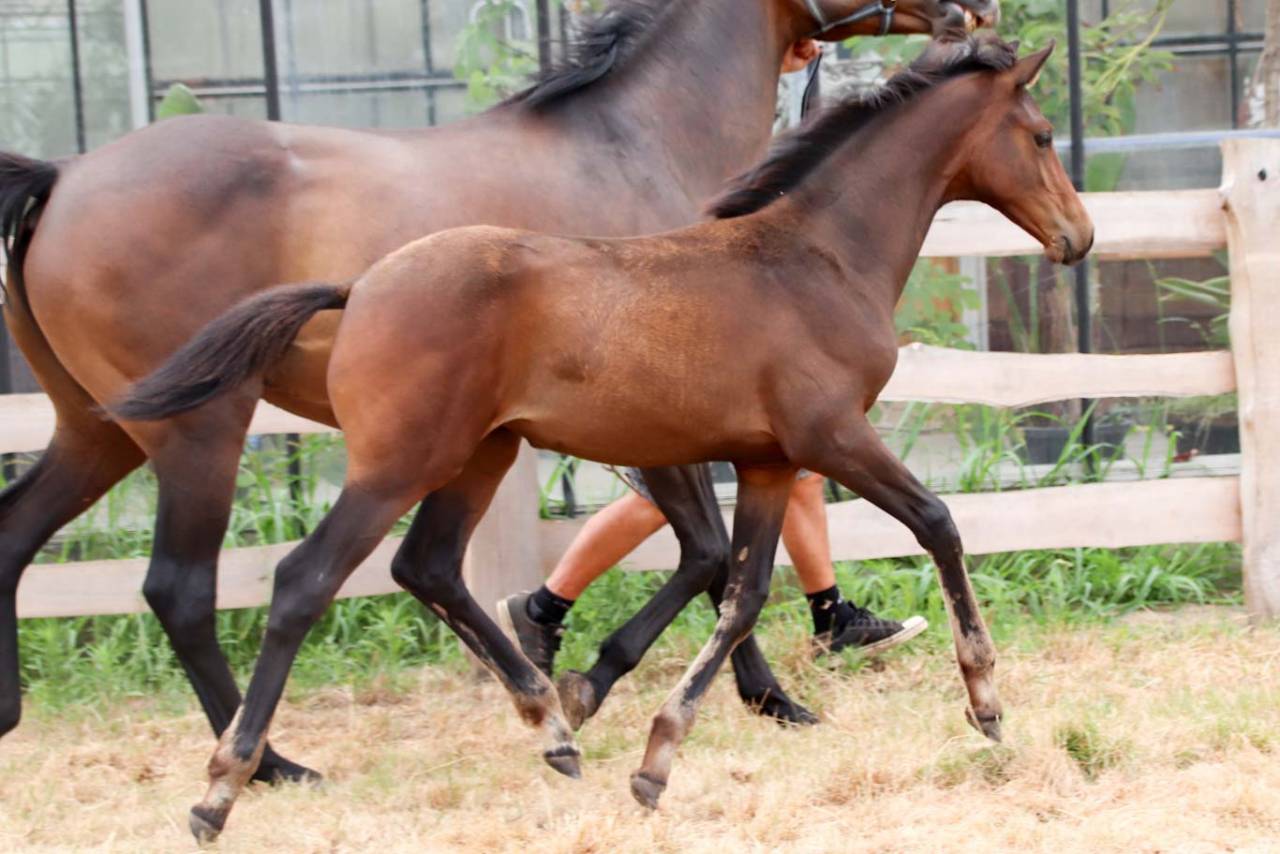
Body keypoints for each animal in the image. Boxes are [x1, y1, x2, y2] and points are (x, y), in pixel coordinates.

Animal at [117, 33, 1092, 839]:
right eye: (1044, 135)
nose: (1079, 235)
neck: (817, 257)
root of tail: (358, 289)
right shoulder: (831, 435)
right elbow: (937, 523)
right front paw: (986, 702)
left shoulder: (768, 462)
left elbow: (741, 595)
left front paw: (657, 759)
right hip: (400, 463)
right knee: (303, 582)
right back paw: (224, 787)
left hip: (482, 455)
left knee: (426, 566)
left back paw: (553, 727)